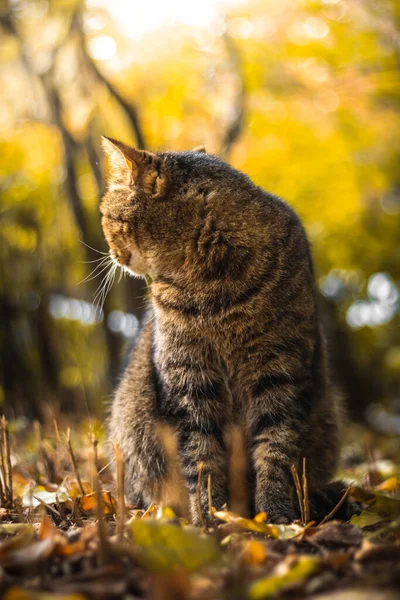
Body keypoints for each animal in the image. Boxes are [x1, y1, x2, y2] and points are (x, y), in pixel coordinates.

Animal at [101, 137, 342, 524]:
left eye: (106, 217)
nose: (110, 254)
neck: (212, 285)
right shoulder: (188, 379)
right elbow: (201, 457)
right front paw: (211, 518)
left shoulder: (280, 371)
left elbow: (275, 449)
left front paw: (275, 518)